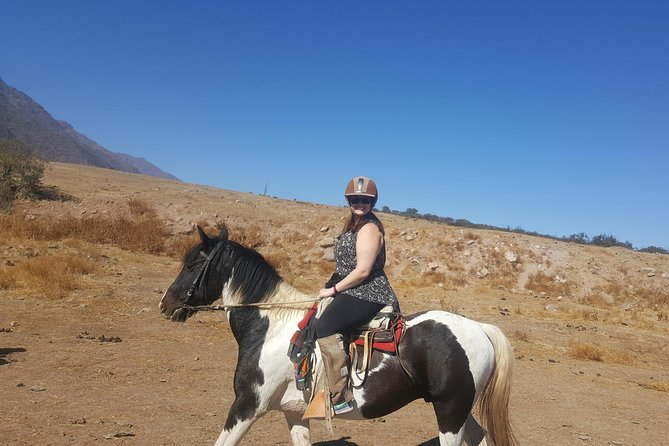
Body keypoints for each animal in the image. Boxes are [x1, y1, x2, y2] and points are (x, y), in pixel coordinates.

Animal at [157, 226, 516, 446]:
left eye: (192, 265)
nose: (166, 304)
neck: (271, 328)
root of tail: (479, 328)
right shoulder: (293, 412)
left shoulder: (247, 406)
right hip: (460, 410)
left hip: (450, 411)